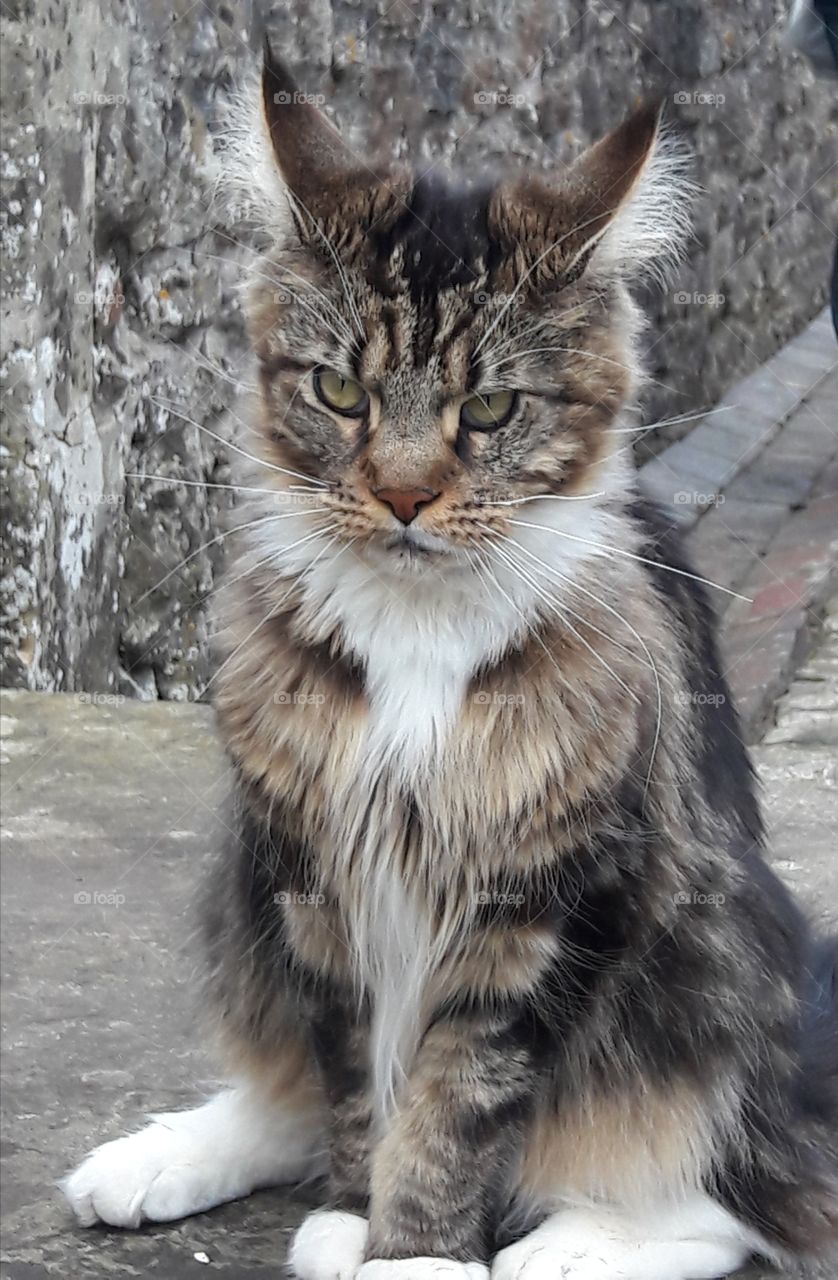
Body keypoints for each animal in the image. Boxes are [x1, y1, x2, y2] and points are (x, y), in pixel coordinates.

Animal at [62, 45, 834, 1274]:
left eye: (492, 407)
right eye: (340, 391)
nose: (406, 495)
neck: (416, 632)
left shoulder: (548, 893)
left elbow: (459, 1096)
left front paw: (414, 1250)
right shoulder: (312, 872)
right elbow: (350, 1077)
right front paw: (353, 1215)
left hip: (701, 960)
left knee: (736, 1189)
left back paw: (570, 1246)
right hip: (241, 883)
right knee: (280, 1091)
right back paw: (155, 1159)